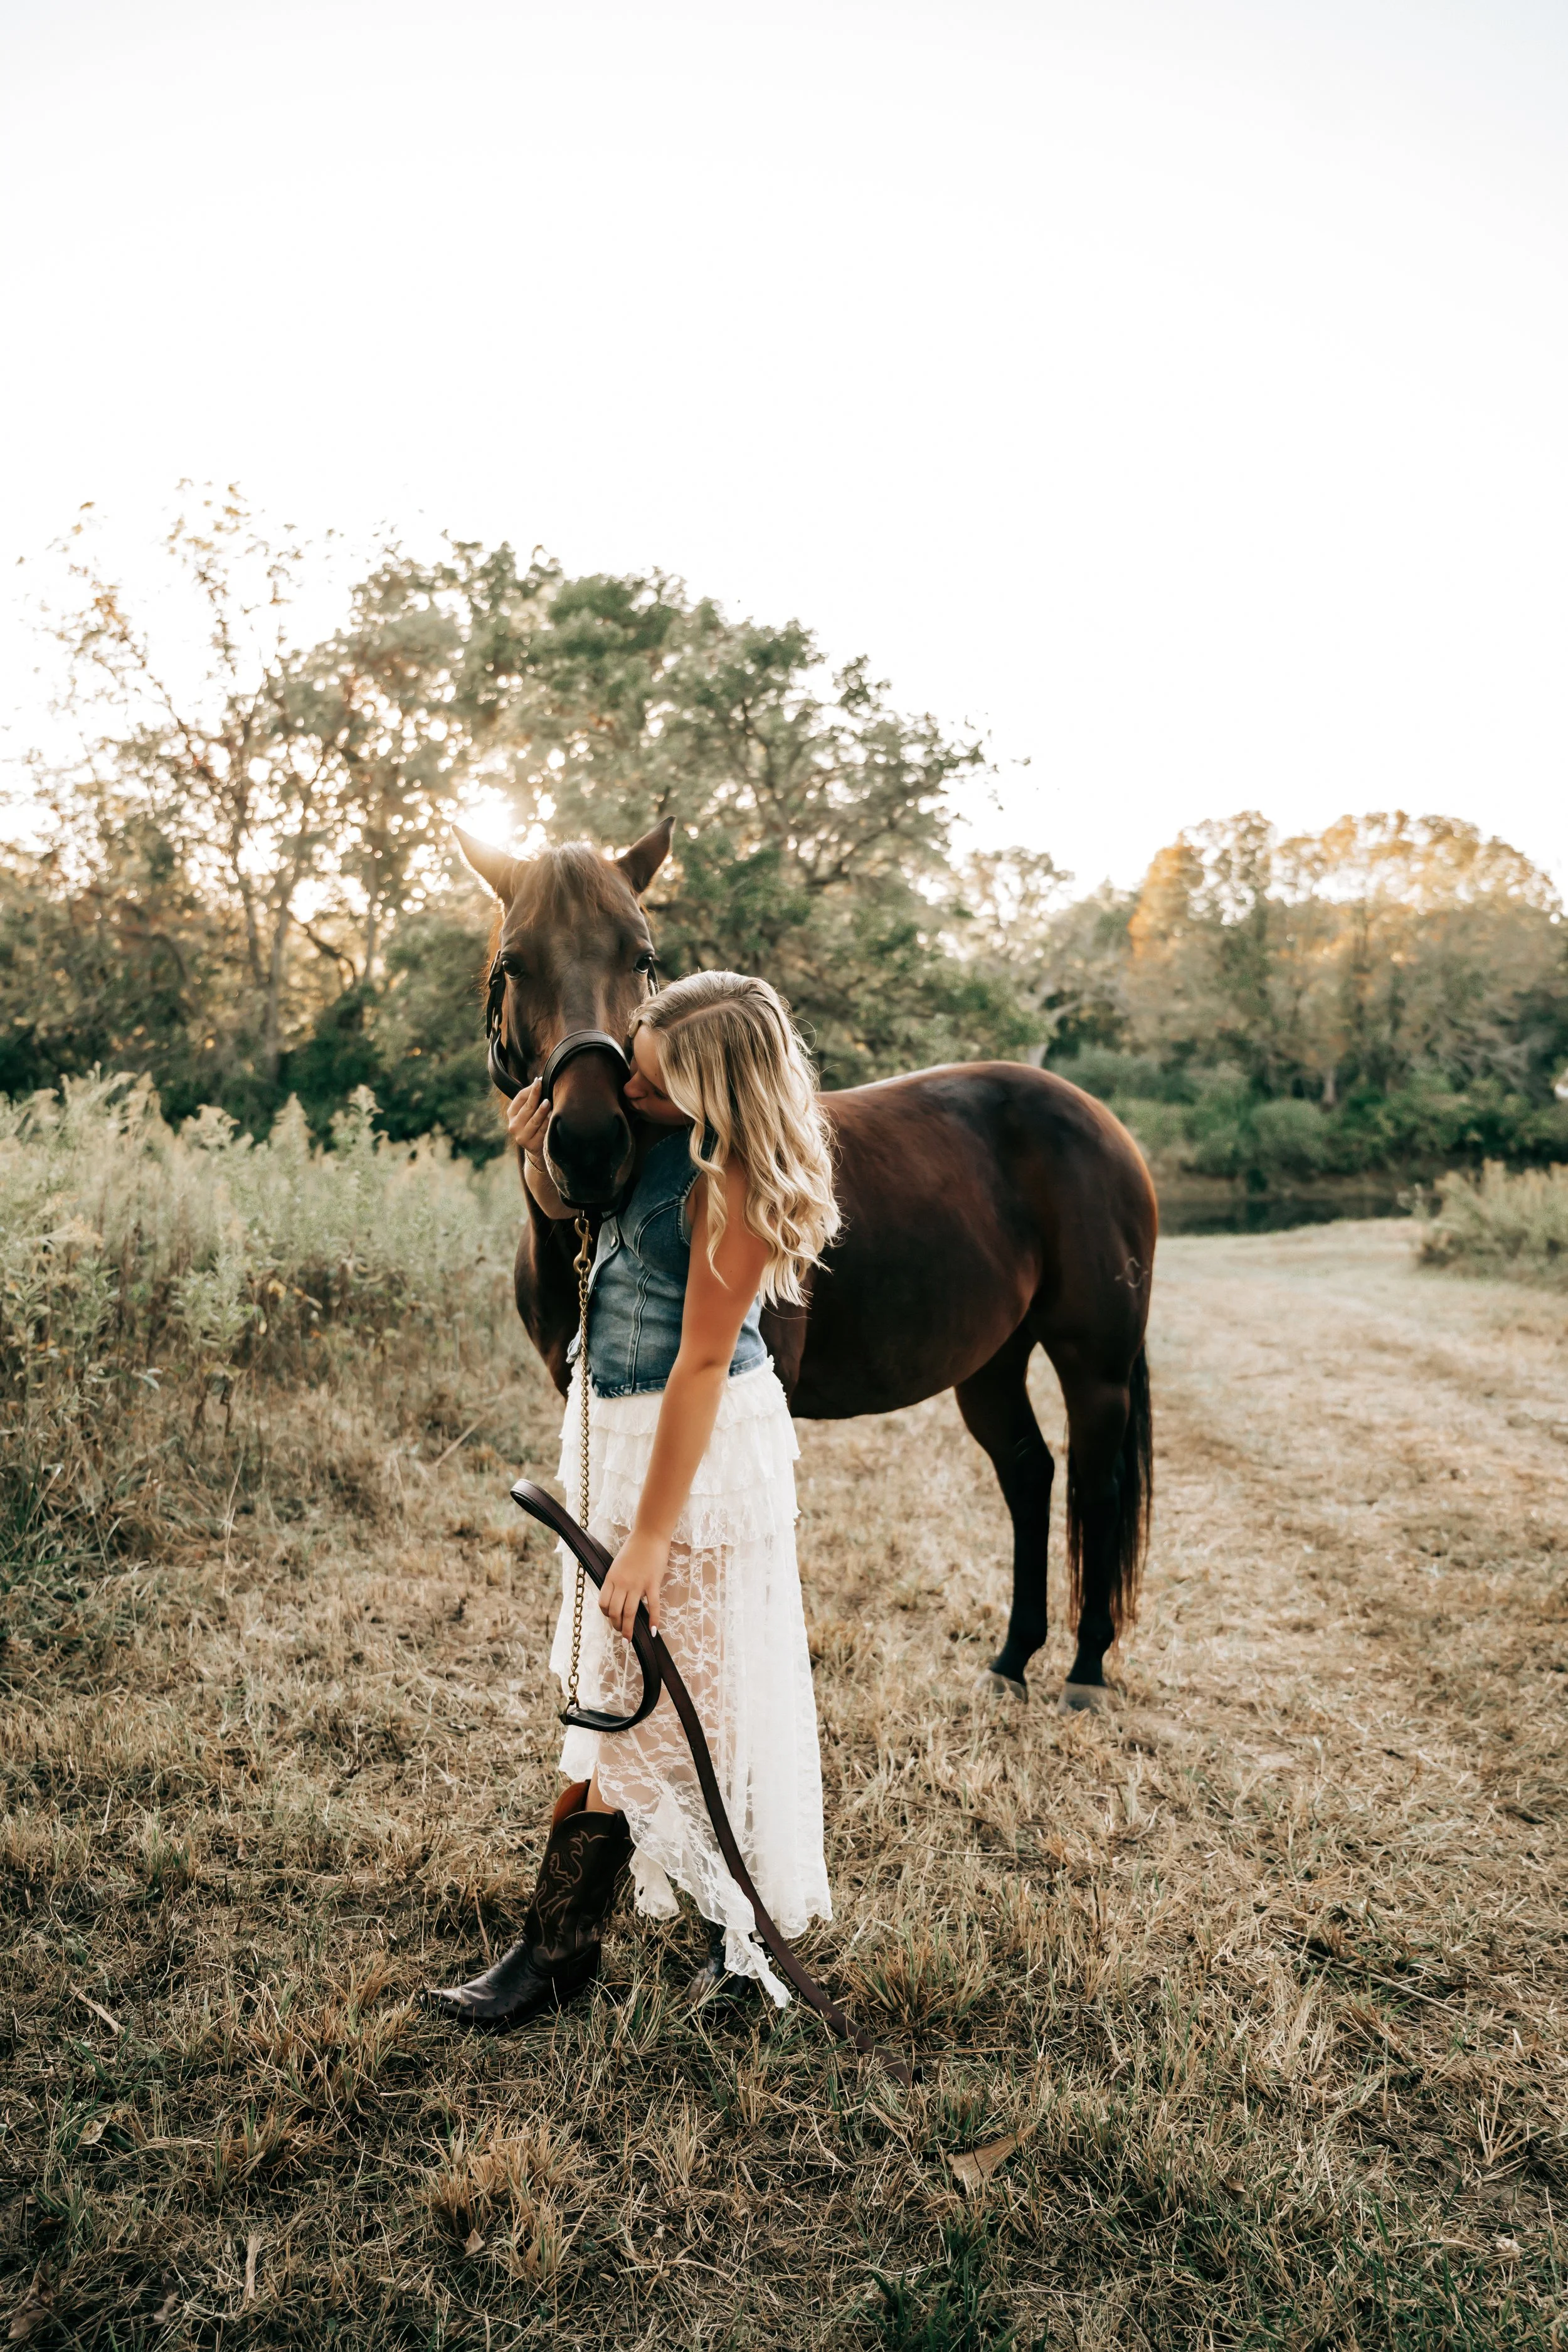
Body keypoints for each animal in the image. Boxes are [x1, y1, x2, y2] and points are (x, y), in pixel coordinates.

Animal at [456, 819, 1156, 1706]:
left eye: (642, 955)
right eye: (515, 963)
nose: (587, 1145)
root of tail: (1102, 1121)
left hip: (1093, 1365)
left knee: (1094, 1491)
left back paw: (1086, 1667)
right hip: (992, 1364)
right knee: (1029, 1475)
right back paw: (1010, 1660)